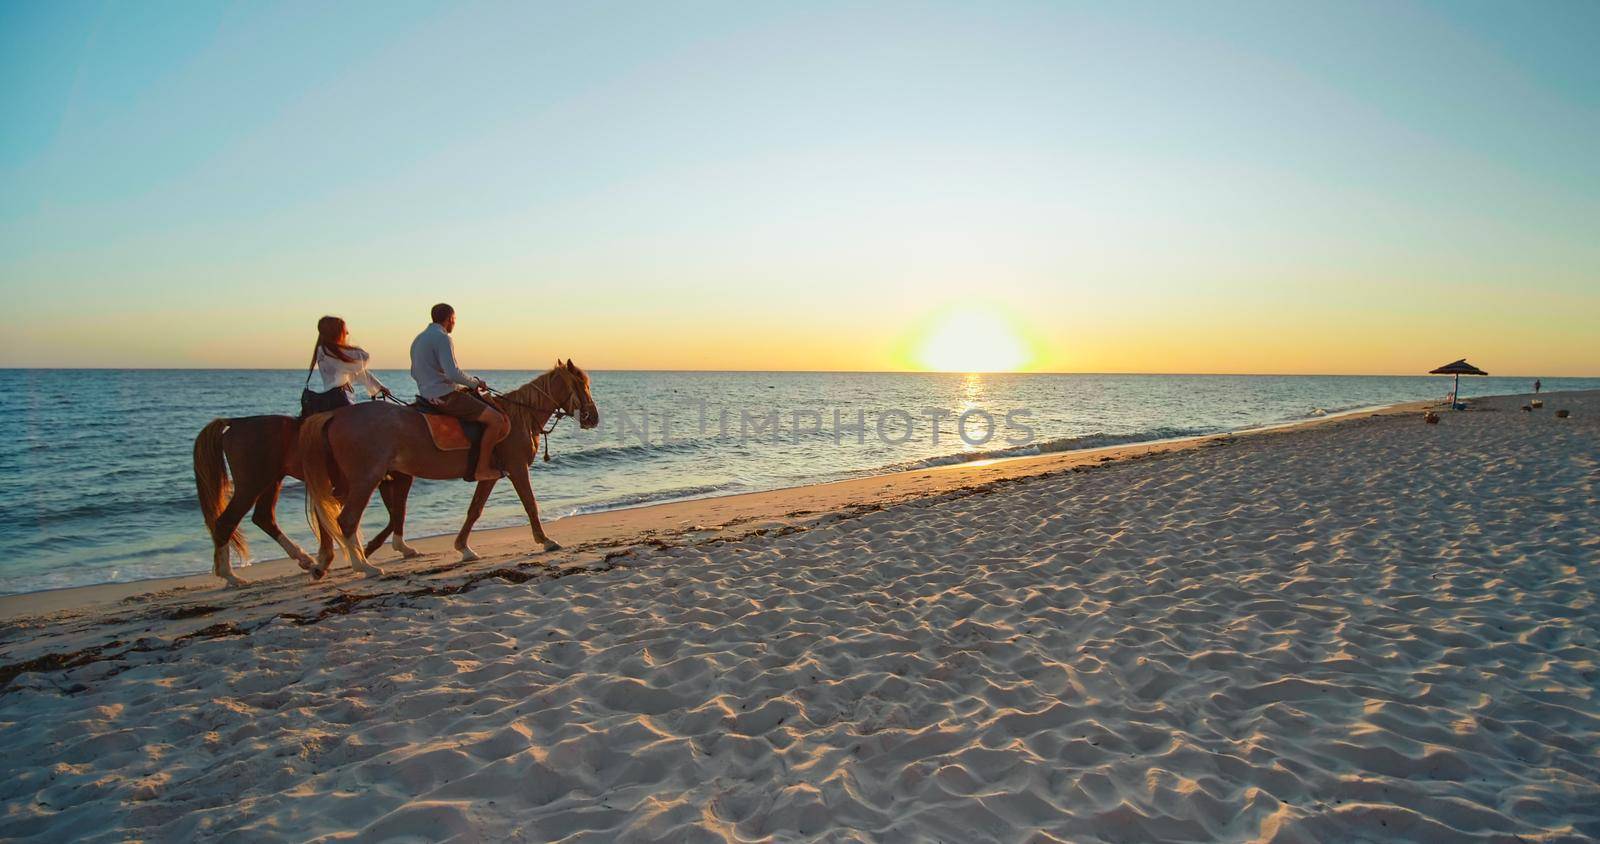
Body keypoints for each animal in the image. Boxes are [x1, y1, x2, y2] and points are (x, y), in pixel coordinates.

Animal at [191, 415, 419, 588]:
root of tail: (237, 422)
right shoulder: (387, 480)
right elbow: (397, 512)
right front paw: (381, 549)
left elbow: (396, 513)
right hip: (251, 484)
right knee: (226, 522)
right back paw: (231, 576)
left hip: (272, 480)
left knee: (263, 517)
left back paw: (306, 561)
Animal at [300, 359, 601, 575]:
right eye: (582, 384)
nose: (593, 418)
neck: (518, 415)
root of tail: (335, 415)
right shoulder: (517, 468)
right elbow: (530, 504)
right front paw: (545, 540)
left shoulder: (490, 476)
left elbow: (474, 510)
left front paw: (463, 548)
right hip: (365, 478)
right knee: (346, 519)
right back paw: (363, 565)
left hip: (349, 481)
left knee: (326, 512)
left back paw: (327, 560)